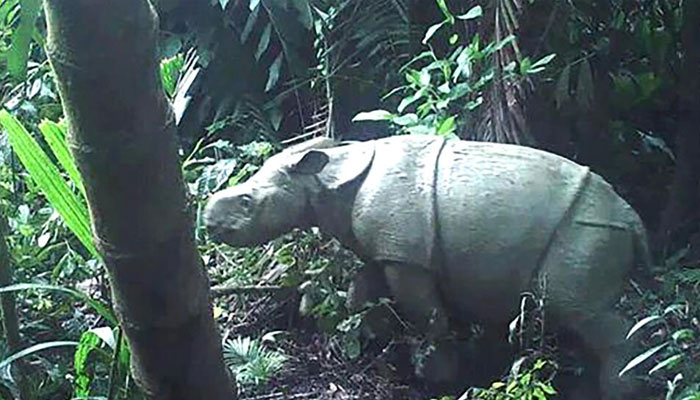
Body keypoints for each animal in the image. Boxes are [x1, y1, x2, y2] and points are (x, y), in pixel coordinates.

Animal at [204, 135, 652, 400]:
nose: (207, 222)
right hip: (591, 228)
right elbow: (361, 294)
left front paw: (435, 376)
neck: (324, 179)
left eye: (247, 202)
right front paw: (371, 345)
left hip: (585, 227)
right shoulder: (386, 249)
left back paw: (619, 392)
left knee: (582, 310)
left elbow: (428, 313)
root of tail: (633, 218)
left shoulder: (408, 257)